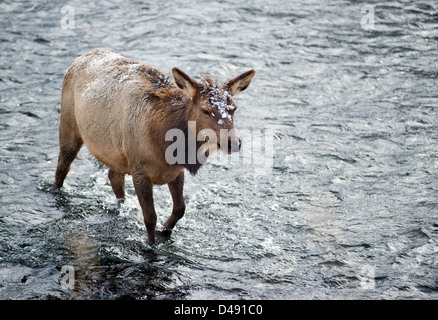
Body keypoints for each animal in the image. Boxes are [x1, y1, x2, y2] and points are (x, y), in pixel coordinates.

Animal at [53, 49, 255, 245]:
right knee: (62, 167)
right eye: (205, 110)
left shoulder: (175, 171)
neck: (164, 145)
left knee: (114, 176)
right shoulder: (139, 170)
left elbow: (180, 208)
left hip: (117, 152)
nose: (233, 142)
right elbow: (150, 217)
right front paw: (150, 246)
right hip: (69, 125)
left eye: (234, 108)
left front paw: (164, 230)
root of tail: (81, 58)